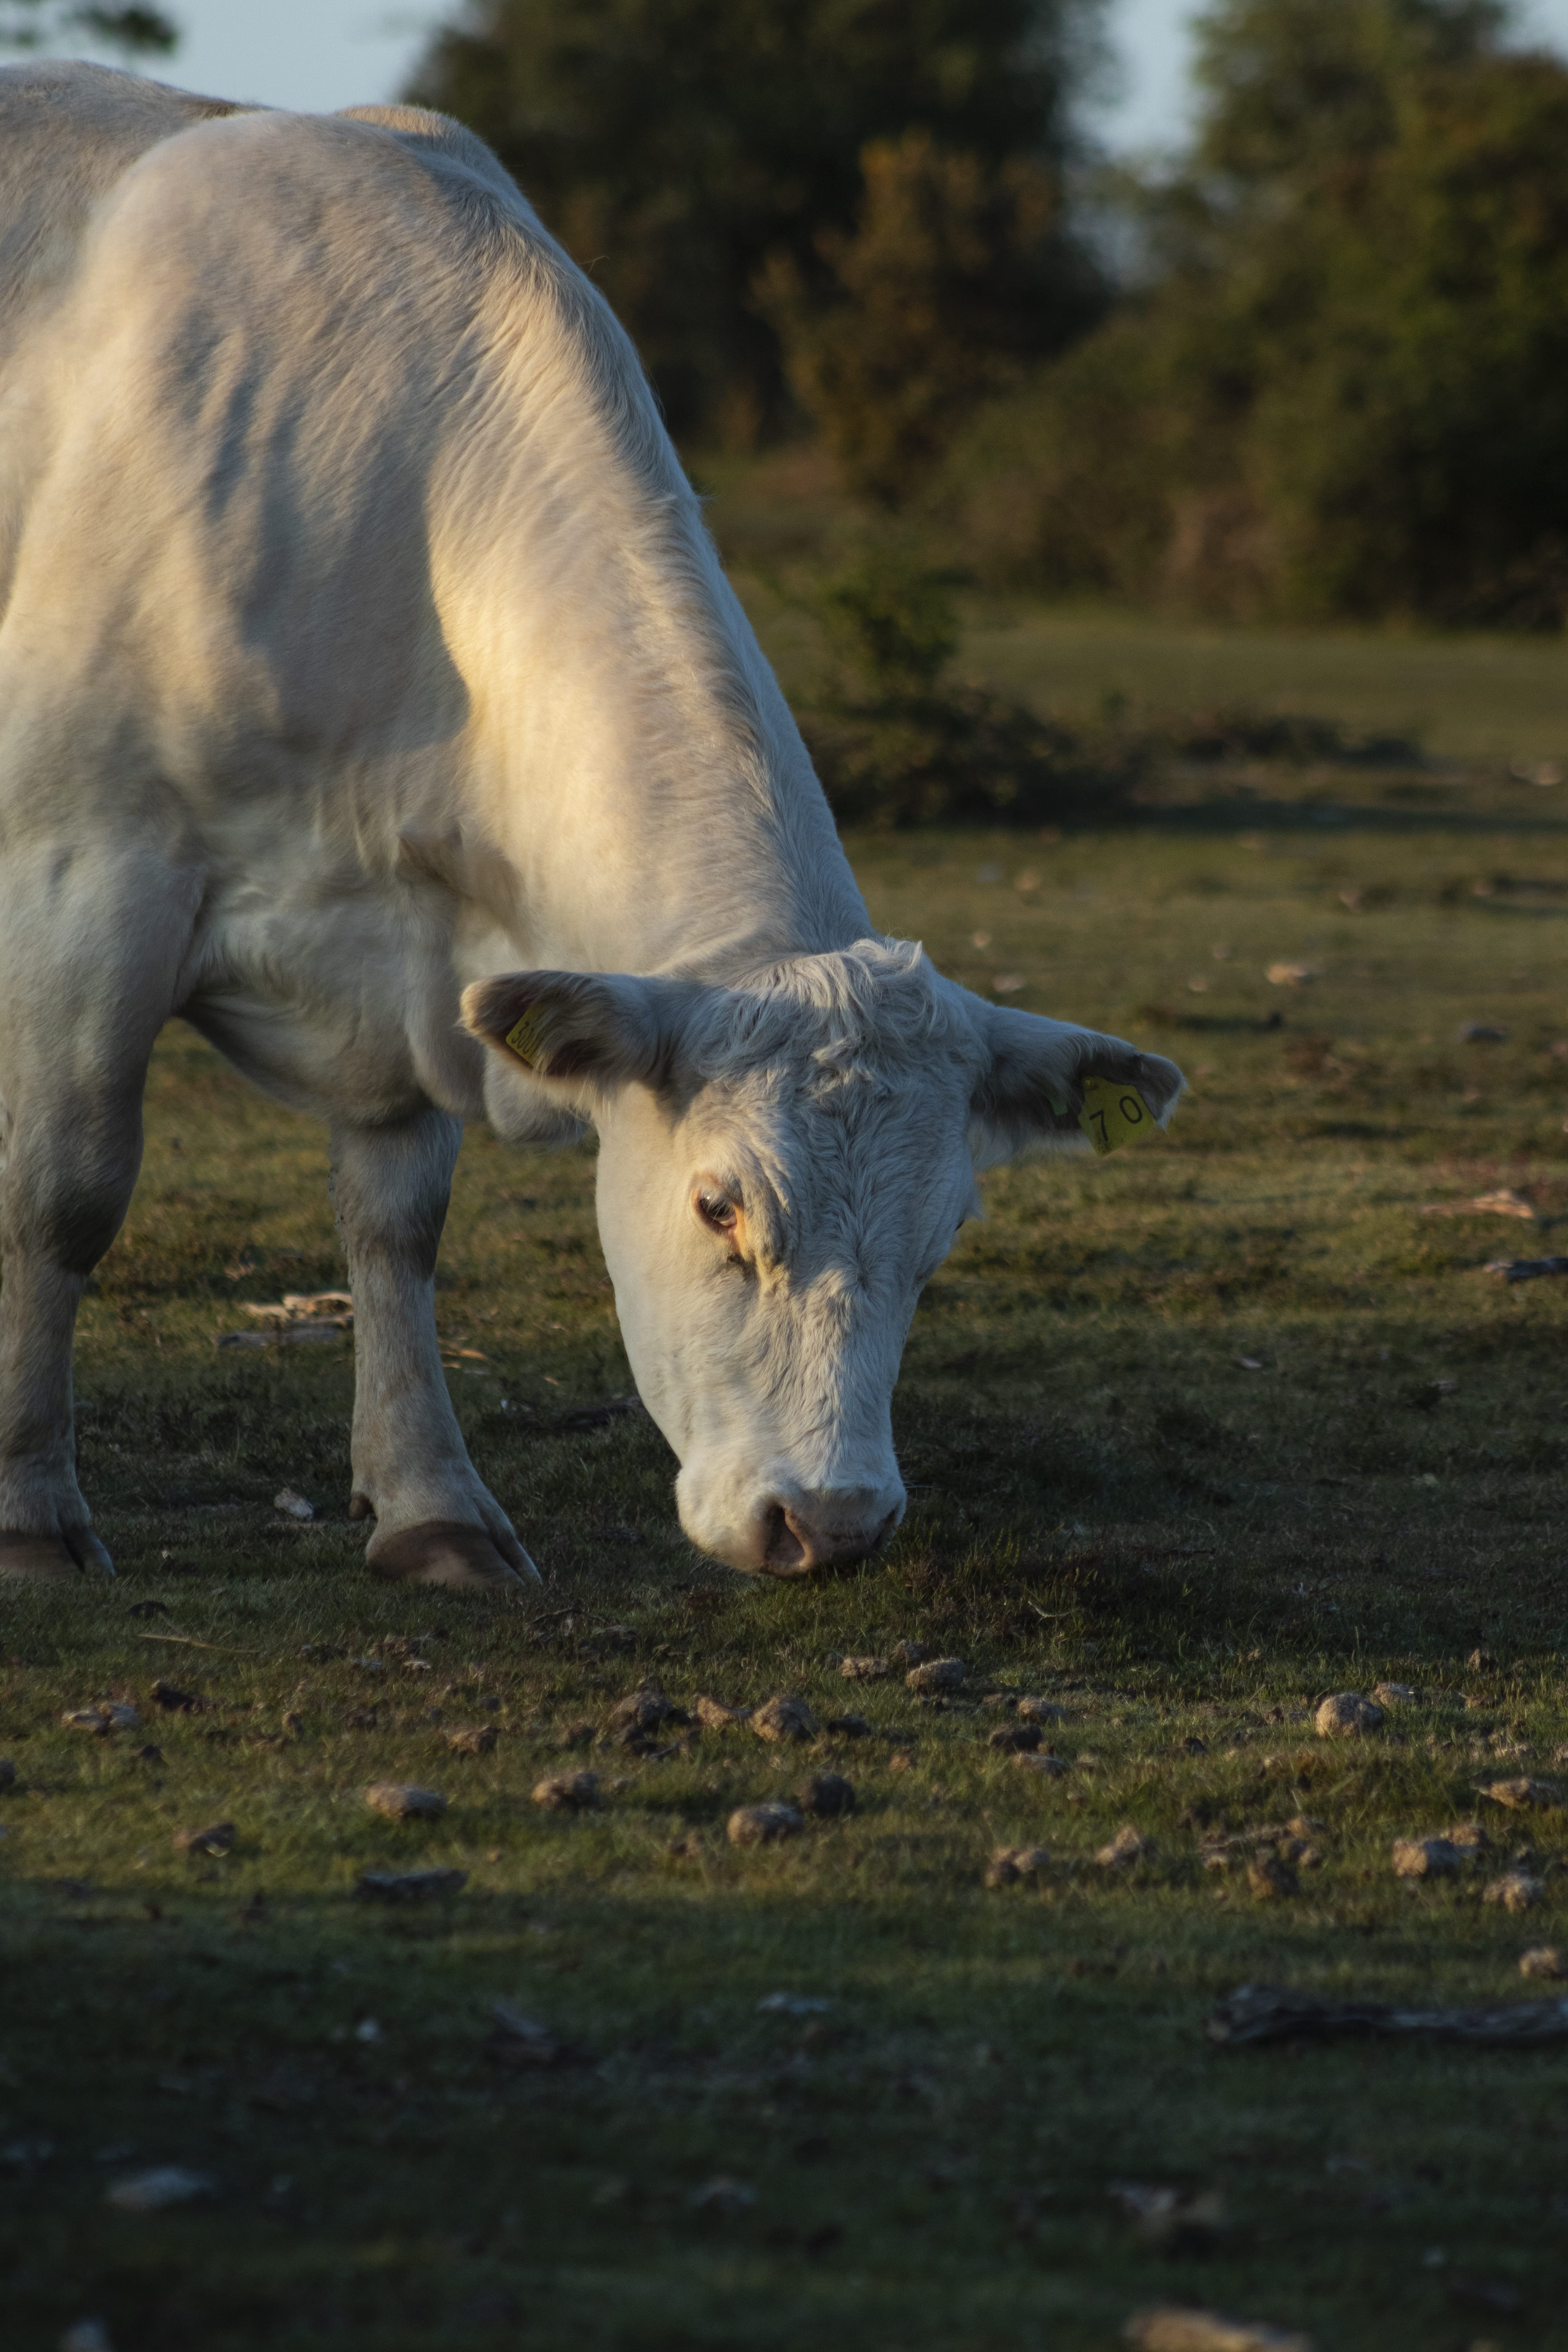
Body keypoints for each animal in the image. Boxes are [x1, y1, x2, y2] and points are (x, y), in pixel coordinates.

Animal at [0, 63, 1181, 1594]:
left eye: (945, 1236)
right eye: (718, 1206)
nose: (831, 1521)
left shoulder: (417, 951)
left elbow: (395, 1228)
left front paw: (433, 1504)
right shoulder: (90, 871)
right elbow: (66, 1193)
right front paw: (32, 1512)